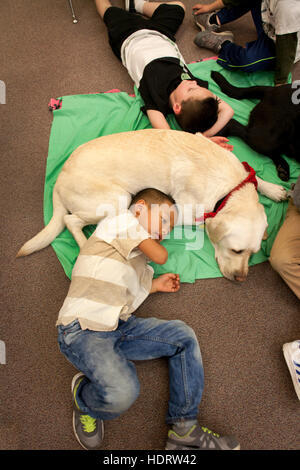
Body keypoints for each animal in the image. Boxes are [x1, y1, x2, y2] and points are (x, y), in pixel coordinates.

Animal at [17, 129, 288, 280]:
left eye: (253, 254)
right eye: (236, 251)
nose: (241, 278)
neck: (229, 190)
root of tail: (58, 179)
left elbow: (253, 175)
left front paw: (272, 189)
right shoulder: (185, 210)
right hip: (117, 199)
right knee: (70, 220)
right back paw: (85, 245)